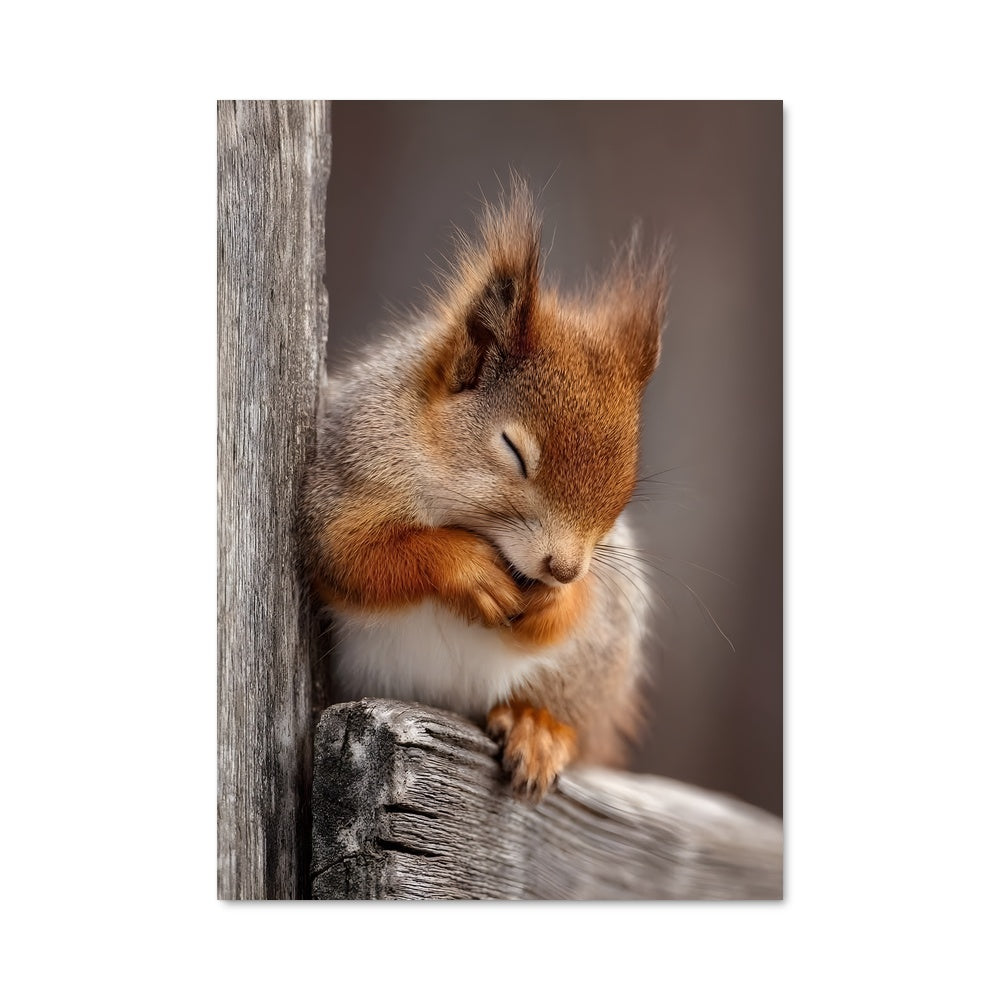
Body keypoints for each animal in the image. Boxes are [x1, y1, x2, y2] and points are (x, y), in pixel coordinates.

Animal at [301, 180, 668, 800]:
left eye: (625, 488)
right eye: (513, 450)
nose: (563, 568)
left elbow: (571, 611)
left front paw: (555, 599)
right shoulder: (344, 476)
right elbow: (357, 557)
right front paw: (467, 570)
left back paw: (537, 726)